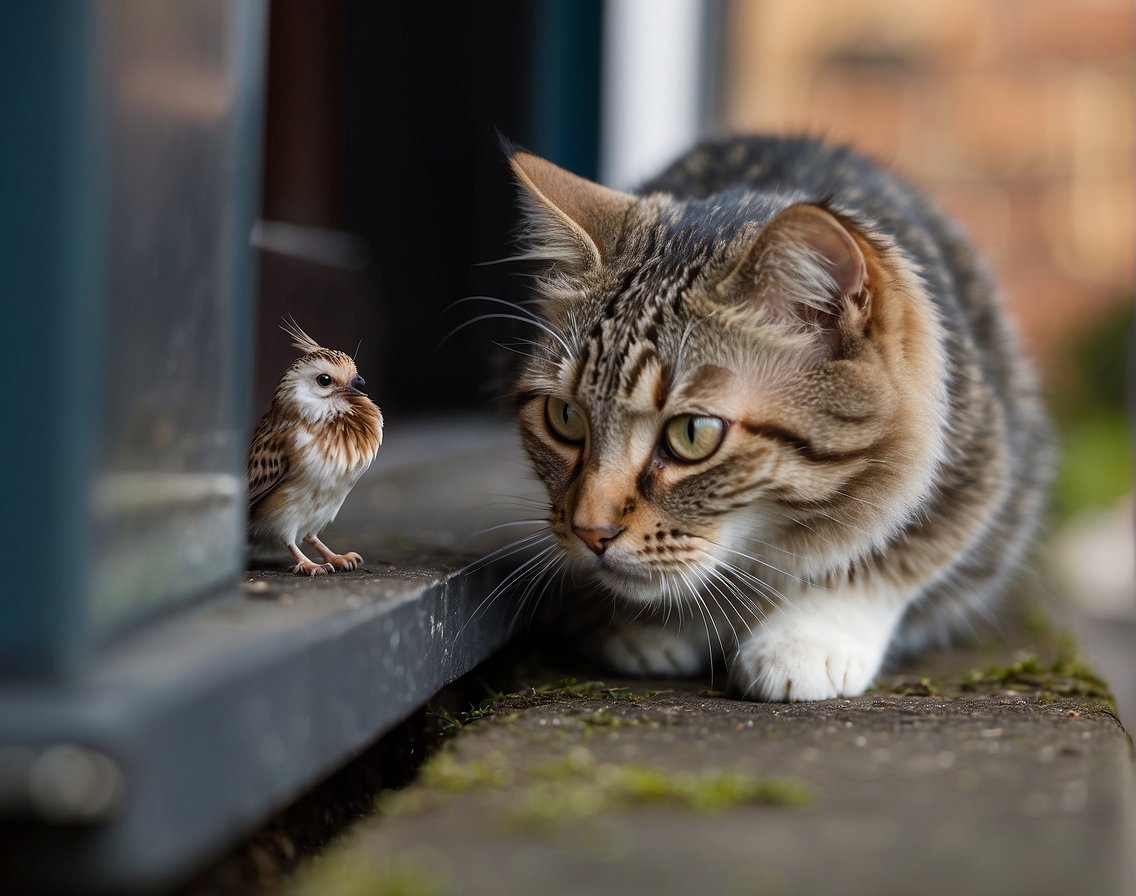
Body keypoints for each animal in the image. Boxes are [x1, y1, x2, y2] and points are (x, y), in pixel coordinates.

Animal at [506, 136, 1045, 704]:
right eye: (565, 417)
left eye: (692, 434)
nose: (590, 532)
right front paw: (657, 623)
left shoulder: (977, 475)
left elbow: (884, 561)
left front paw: (807, 638)